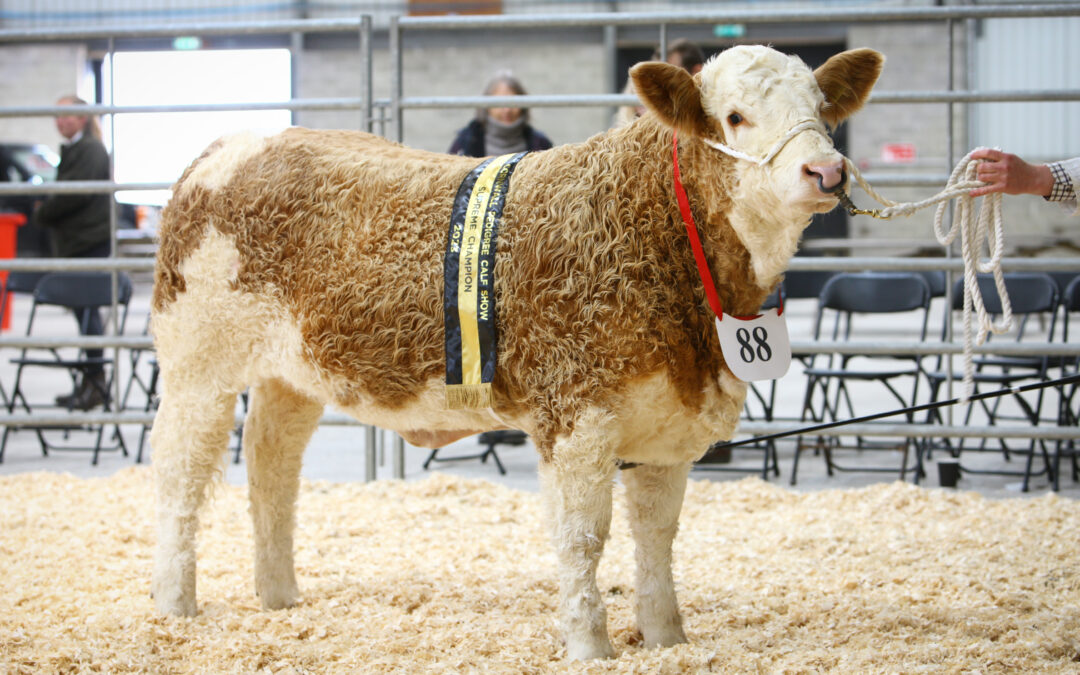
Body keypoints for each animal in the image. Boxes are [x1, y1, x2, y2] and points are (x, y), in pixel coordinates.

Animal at [150, 46, 876, 656]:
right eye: (734, 117)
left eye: (821, 110)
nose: (826, 170)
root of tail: (233, 144)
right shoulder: (577, 415)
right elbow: (582, 539)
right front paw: (590, 647)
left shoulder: (666, 422)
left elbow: (656, 536)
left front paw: (667, 638)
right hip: (197, 361)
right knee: (181, 473)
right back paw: (174, 604)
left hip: (292, 373)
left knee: (272, 465)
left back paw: (278, 597)